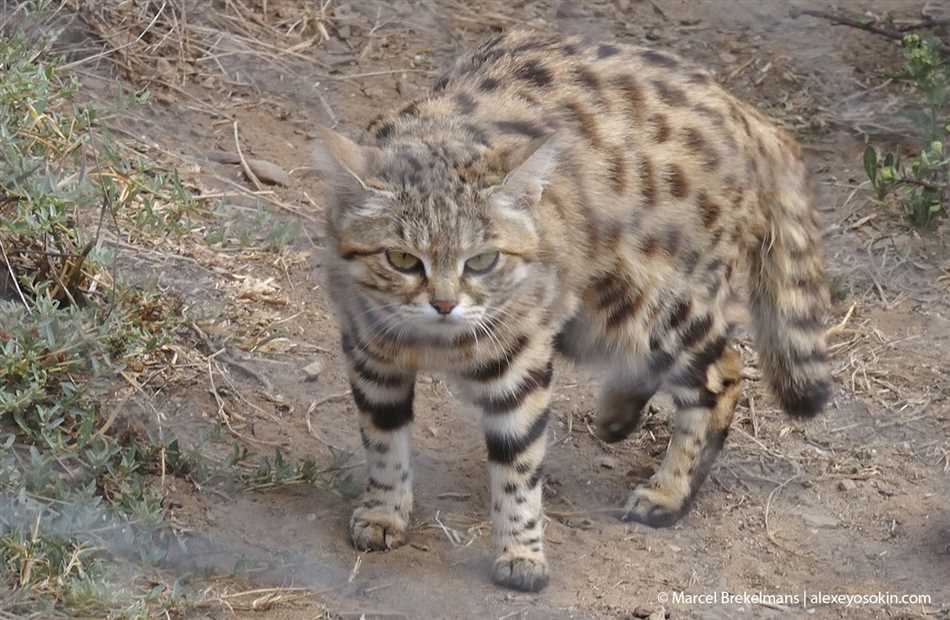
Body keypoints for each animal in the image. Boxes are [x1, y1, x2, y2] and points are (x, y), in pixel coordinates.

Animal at [312, 29, 832, 592]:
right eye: (404, 259)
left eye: (483, 260)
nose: (445, 304)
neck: (433, 341)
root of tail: (739, 108)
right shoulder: (370, 353)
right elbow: (383, 442)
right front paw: (383, 513)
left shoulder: (517, 360)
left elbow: (518, 464)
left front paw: (522, 553)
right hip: (598, 313)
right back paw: (618, 417)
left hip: (656, 302)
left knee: (723, 374)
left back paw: (668, 493)